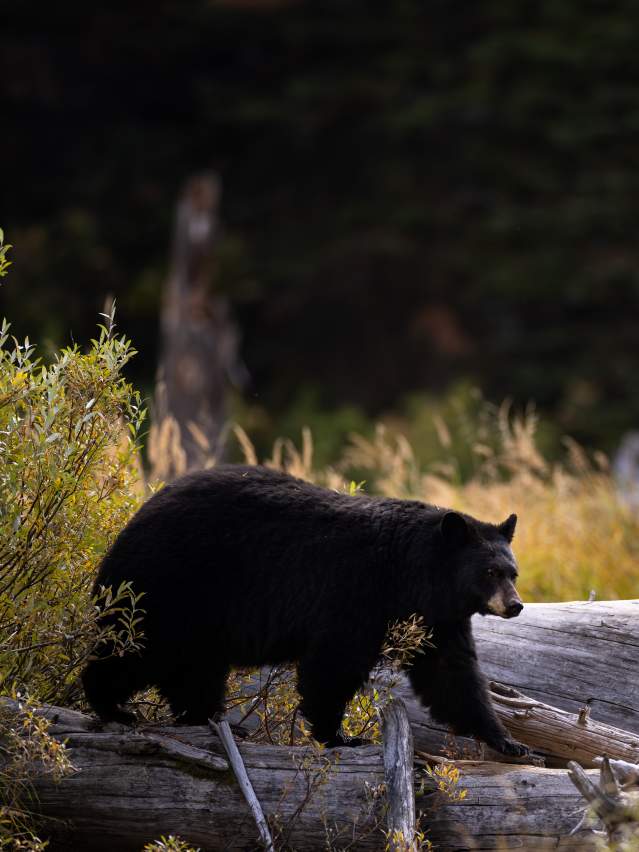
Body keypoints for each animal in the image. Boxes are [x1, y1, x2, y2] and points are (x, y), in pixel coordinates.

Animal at [82, 462, 528, 756]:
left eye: (513, 572)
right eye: (489, 571)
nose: (515, 605)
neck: (411, 574)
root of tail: (138, 514)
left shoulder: (437, 617)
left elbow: (452, 674)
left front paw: (508, 741)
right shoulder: (357, 592)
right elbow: (334, 664)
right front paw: (339, 736)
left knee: (195, 669)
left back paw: (211, 719)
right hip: (171, 586)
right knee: (134, 646)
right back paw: (112, 706)